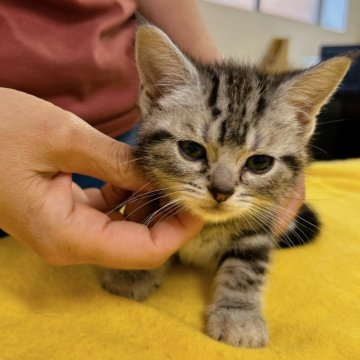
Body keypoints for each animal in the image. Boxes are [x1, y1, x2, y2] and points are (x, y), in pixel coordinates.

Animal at [102, 24, 354, 346]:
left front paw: (239, 316)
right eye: (191, 150)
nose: (221, 192)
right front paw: (134, 274)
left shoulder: (259, 225)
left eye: (259, 163)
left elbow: (245, 268)